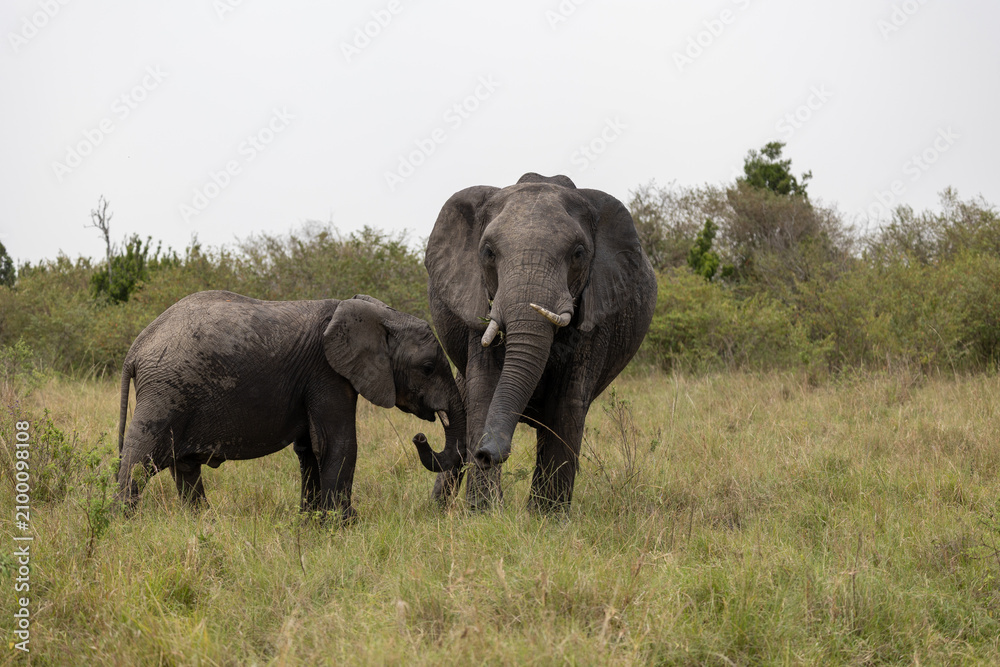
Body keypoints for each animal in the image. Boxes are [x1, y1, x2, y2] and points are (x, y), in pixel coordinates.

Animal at [115, 290, 465, 521]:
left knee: (184, 467)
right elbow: (338, 443)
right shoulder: (327, 371)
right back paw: (122, 523)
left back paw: (203, 523)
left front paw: (311, 523)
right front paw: (346, 524)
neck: (379, 315)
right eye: (428, 368)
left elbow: (310, 448)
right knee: (140, 459)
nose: (419, 437)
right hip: (165, 393)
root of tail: (135, 348)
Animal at [424, 173, 657, 511]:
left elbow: (568, 402)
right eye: (488, 253)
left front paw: (548, 518)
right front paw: (484, 514)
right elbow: (485, 390)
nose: (485, 454)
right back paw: (438, 510)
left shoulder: (596, 312)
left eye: (578, 254)